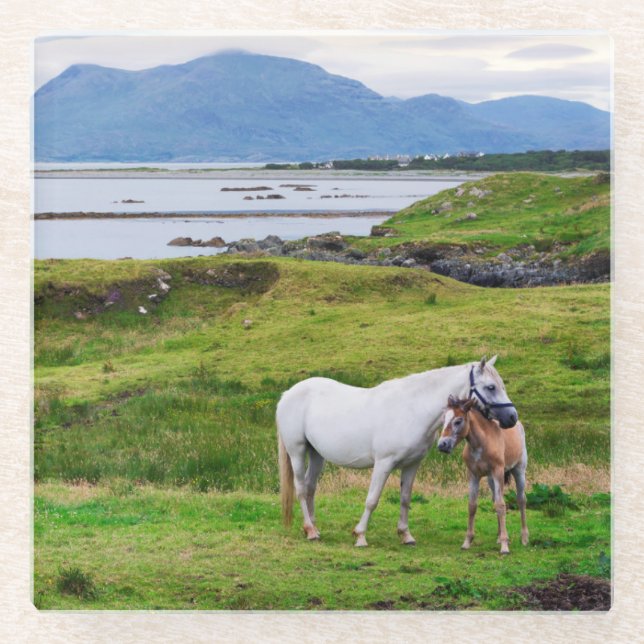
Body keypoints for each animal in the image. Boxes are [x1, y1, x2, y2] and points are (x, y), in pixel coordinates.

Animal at [276, 355, 517, 547]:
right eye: (491, 387)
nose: (512, 417)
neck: (413, 409)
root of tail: (287, 394)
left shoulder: (412, 464)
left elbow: (405, 498)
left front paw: (405, 535)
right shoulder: (384, 463)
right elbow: (372, 499)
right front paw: (360, 535)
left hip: (317, 454)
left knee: (310, 487)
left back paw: (313, 528)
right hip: (297, 451)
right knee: (300, 488)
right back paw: (310, 530)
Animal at [437, 395, 529, 554]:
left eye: (458, 421)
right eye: (444, 419)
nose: (442, 445)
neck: (481, 444)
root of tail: (518, 424)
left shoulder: (498, 471)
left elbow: (501, 505)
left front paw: (505, 546)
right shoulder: (473, 475)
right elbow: (472, 505)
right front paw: (467, 541)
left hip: (519, 471)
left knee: (521, 499)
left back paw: (524, 538)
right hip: (491, 480)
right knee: (495, 499)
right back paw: (499, 537)